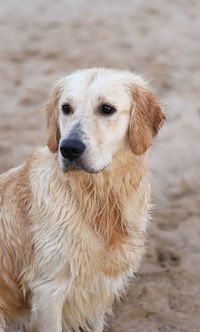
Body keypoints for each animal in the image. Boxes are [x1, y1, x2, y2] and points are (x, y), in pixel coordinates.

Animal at [0, 68, 165, 332]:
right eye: (66, 108)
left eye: (107, 108)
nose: (69, 148)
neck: (97, 198)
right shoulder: (49, 290)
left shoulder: (98, 294)